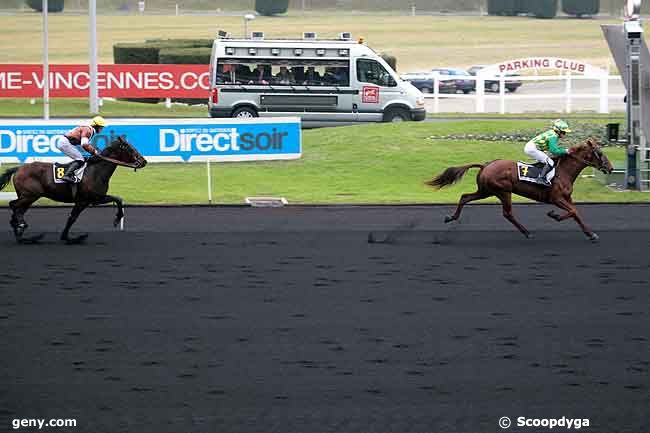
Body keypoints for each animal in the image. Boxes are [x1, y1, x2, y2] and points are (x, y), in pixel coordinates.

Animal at [0, 136, 146, 243]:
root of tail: (18, 169)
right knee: (13, 205)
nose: (143, 161)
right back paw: (21, 226)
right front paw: (69, 237)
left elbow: (118, 199)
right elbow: (73, 218)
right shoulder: (85, 200)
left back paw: (21, 234)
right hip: (30, 195)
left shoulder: (94, 199)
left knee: (18, 210)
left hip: (28, 197)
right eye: (129, 148)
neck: (96, 170)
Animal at [426, 138, 612, 241]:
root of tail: (486, 165)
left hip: (486, 191)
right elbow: (573, 211)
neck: (563, 171)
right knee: (507, 213)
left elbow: (576, 213)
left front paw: (591, 234)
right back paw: (527, 232)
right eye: (600, 153)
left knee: (465, 197)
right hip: (503, 191)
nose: (610, 168)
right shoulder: (556, 198)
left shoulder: (567, 198)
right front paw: (554, 215)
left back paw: (451, 217)